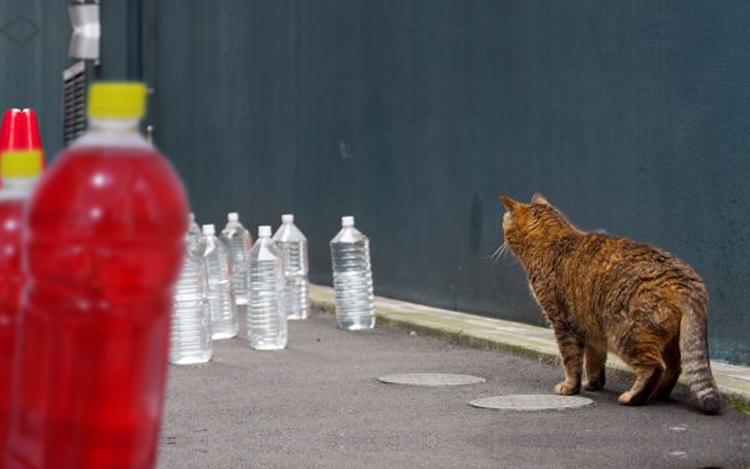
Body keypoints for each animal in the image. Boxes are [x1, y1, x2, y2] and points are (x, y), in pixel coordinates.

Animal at [502, 192, 724, 412]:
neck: (553, 241)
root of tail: (683, 279)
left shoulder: (562, 323)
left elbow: (572, 361)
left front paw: (570, 387)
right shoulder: (590, 328)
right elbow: (594, 361)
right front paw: (593, 384)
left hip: (625, 334)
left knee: (654, 367)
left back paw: (633, 397)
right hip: (670, 339)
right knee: (674, 367)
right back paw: (657, 393)